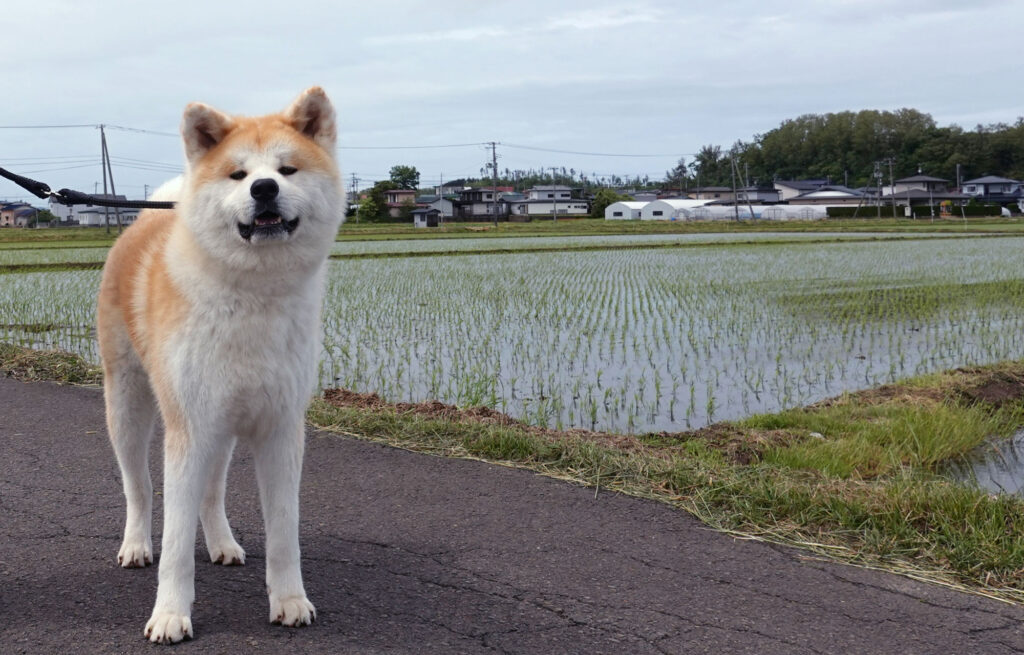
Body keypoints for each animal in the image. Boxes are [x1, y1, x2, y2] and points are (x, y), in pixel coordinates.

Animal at [100, 88, 348, 646]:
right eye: (238, 175)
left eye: (287, 169)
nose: (263, 187)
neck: (253, 297)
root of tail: (145, 219)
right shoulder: (189, 429)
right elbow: (175, 544)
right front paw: (170, 614)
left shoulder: (280, 429)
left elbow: (284, 534)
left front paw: (289, 600)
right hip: (129, 407)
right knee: (138, 487)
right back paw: (136, 544)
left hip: (224, 427)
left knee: (212, 492)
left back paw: (222, 543)